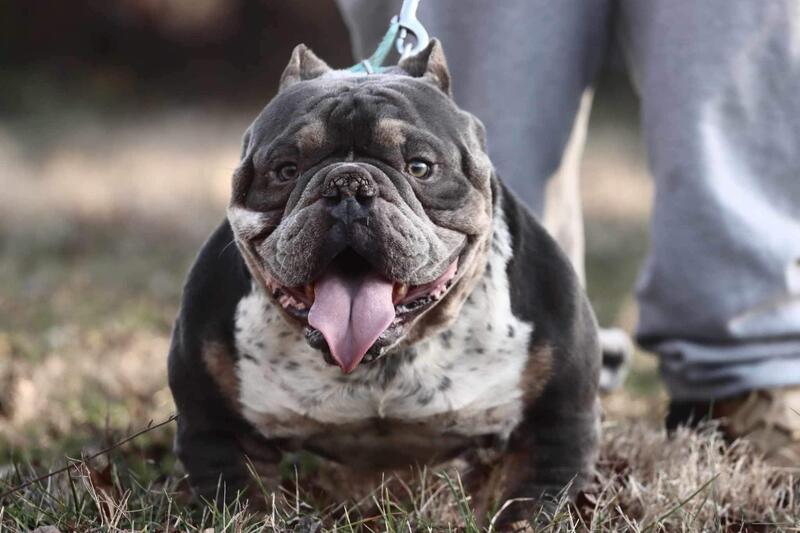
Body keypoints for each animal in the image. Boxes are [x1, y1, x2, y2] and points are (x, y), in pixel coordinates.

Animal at [168, 40, 601, 526]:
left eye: (420, 167)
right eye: (285, 169)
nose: (348, 185)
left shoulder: (553, 431)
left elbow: (530, 506)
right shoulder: (219, 429)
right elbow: (244, 501)